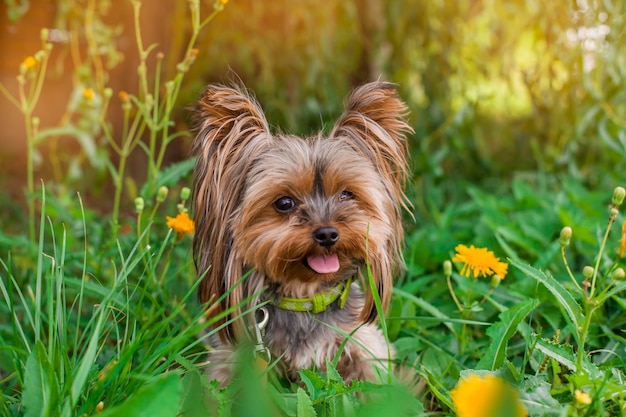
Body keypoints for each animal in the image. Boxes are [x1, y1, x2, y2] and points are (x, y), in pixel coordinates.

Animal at [193, 79, 412, 386]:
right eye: (284, 203)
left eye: (346, 194)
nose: (328, 234)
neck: (305, 298)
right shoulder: (231, 357)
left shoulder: (365, 345)